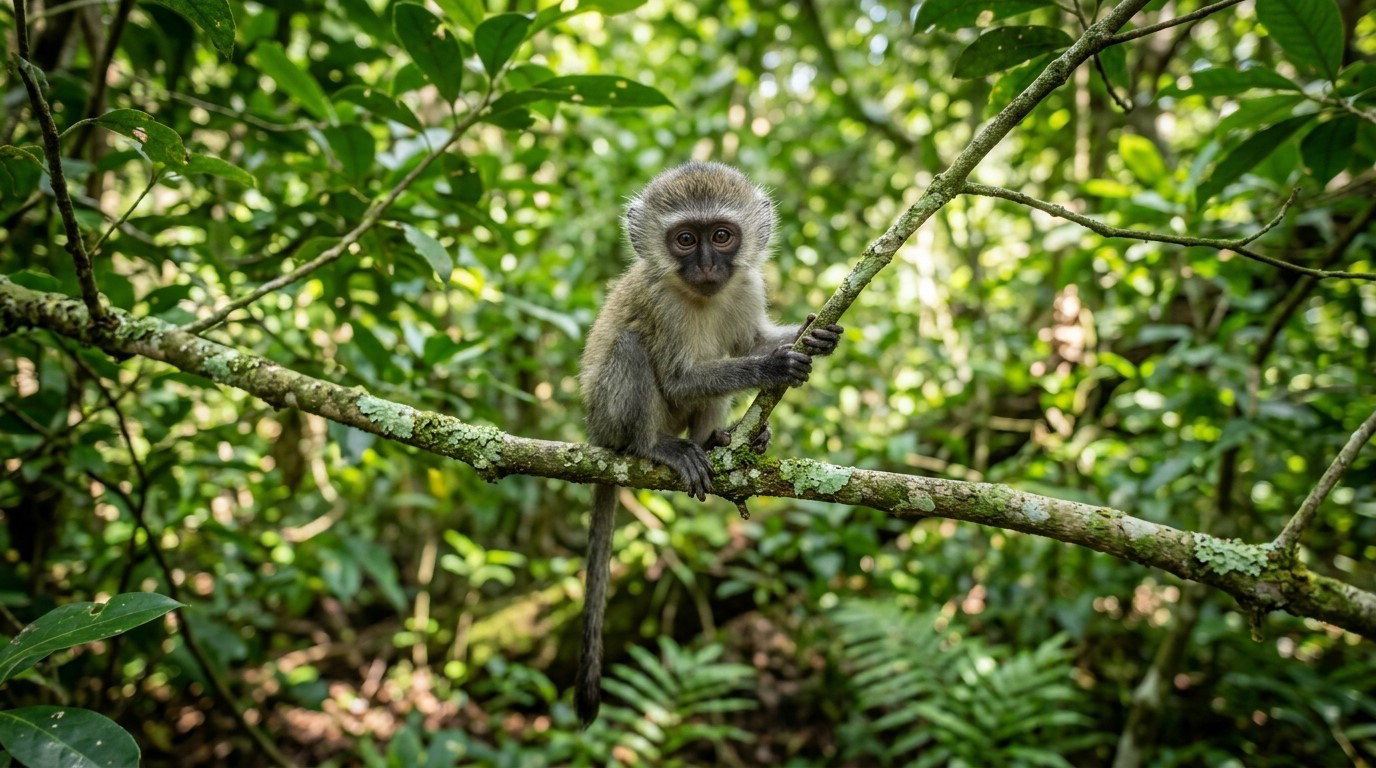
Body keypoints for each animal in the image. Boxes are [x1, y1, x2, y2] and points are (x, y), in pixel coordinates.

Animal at [575, 162, 843, 725]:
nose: (703, 265)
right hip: (609, 417)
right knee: (632, 346)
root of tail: (594, 434)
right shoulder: (661, 303)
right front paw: (773, 366)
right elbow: (680, 379)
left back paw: (721, 439)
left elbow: (749, 338)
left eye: (721, 236)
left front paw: (811, 336)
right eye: (684, 239)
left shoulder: (747, 284)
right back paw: (655, 447)